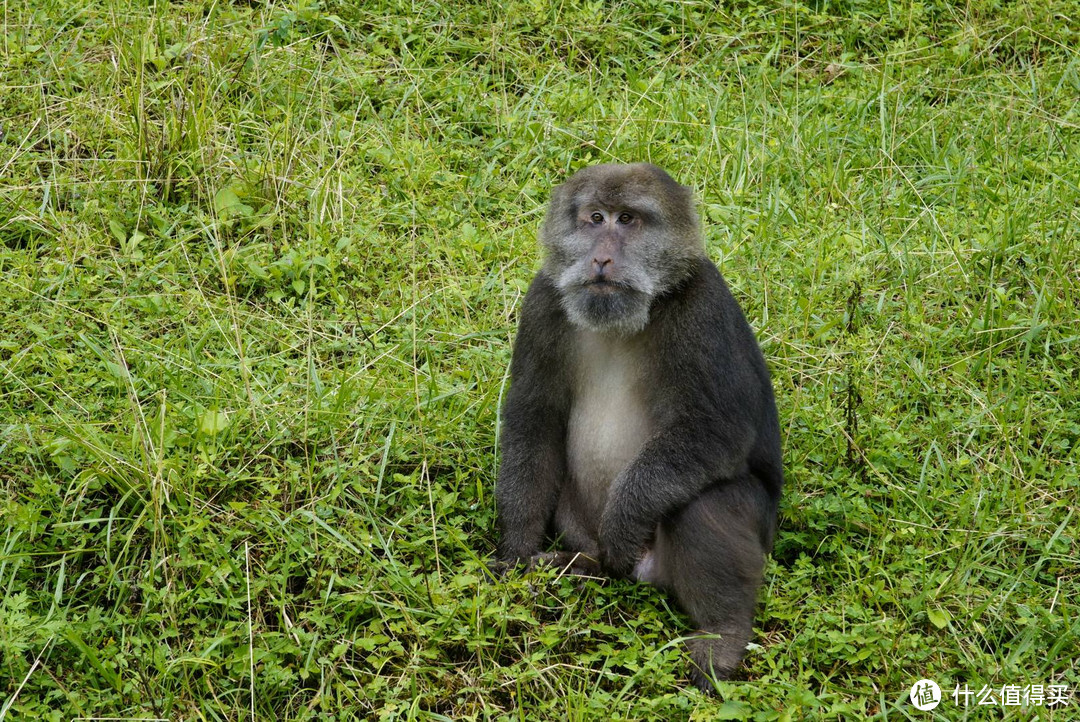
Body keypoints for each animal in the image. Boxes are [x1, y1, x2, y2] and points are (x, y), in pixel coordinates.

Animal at [494, 160, 781, 690]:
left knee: (703, 501)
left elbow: (716, 431)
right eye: (595, 218)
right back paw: (575, 565)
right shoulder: (543, 302)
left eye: (627, 220)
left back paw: (724, 633)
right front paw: (518, 551)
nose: (602, 259)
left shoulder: (701, 309)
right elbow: (535, 419)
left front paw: (624, 519)